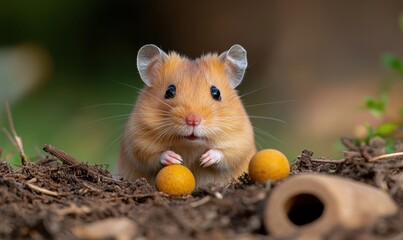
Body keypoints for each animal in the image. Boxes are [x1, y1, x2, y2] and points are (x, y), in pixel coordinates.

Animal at [117, 44, 256, 186]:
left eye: (216, 93)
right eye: (169, 91)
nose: (193, 120)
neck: (190, 145)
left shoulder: (241, 140)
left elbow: (227, 153)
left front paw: (205, 159)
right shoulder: (137, 140)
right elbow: (151, 155)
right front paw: (175, 158)